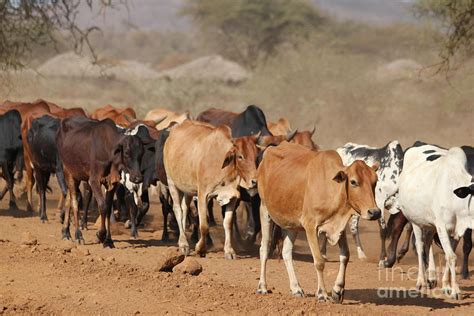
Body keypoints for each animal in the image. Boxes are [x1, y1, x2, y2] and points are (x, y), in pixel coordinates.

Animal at [164, 119, 260, 258]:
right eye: (240, 156)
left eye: (257, 156)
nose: (254, 181)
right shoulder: (203, 195)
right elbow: (204, 225)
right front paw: (200, 248)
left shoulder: (232, 197)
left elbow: (228, 224)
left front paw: (229, 251)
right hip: (172, 182)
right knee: (178, 210)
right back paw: (183, 244)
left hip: (188, 189)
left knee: (184, 209)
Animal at [256, 142, 382, 302]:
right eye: (353, 182)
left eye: (375, 181)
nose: (375, 212)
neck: (331, 188)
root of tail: (270, 149)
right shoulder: (310, 226)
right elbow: (319, 261)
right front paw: (322, 293)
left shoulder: (339, 226)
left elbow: (345, 256)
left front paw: (337, 290)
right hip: (264, 210)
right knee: (264, 249)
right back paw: (262, 287)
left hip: (292, 224)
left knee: (286, 251)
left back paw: (296, 288)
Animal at [398, 143, 472, 298]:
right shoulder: (442, 226)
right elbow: (451, 257)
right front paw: (456, 290)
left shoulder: (456, 231)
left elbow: (449, 255)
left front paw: (446, 286)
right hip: (416, 222)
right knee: (420, 247)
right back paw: (421, 281)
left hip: (430, 225)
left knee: (427, 243)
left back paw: (431, 277)